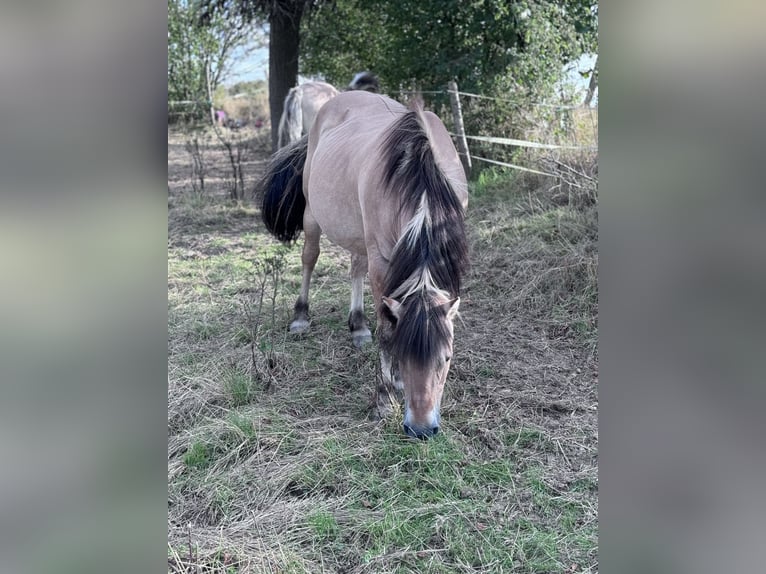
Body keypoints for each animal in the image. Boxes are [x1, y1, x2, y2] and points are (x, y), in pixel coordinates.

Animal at [260, 91, 472, 440]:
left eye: (447, 358)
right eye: (404, 352)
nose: (421, 429)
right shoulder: (382, 262)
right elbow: (387, 329)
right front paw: (383, 401)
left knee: (356, 267)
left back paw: (358, 324)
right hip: (313, 216)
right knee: (309, 258)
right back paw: (301, 317)